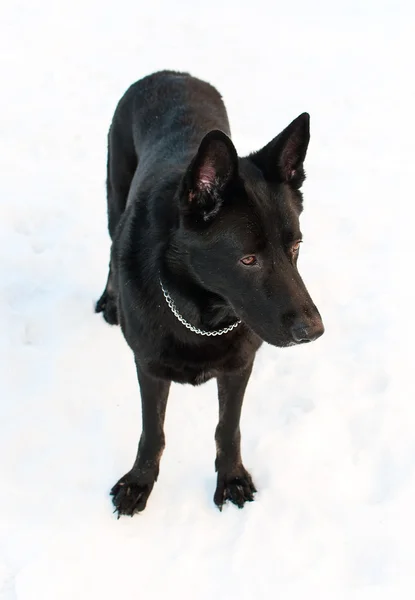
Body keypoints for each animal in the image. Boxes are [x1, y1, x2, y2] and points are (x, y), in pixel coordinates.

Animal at [96, 70, 324, 516]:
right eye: (248, 259)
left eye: (295, 247)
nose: (314, 331)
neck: (200, 312)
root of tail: (170, 73)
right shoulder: (149, 365)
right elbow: (153, 432)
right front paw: (140, 482)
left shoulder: (239, 366)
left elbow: (227, 428)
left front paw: (231, 477)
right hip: (115, 192)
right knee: (111, 247)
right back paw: (110, 299)